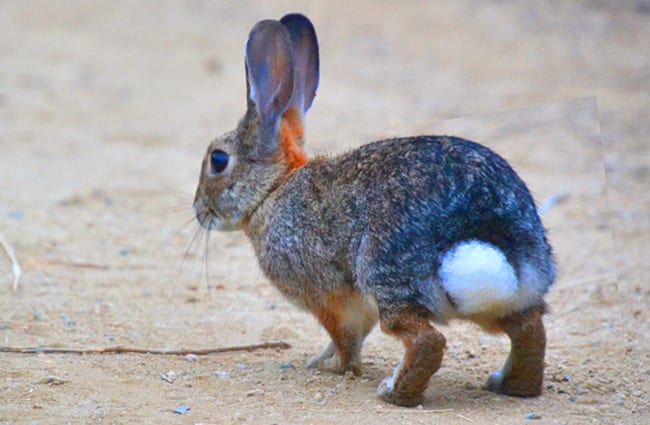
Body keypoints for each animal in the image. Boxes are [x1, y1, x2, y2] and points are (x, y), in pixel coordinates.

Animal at [191, 11, 552, 406]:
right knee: (530, 328)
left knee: (427, 340)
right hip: (503, 299)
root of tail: (485, 231)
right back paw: (509, 384)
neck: (274, 189)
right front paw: (322, 359)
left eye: (218, 160)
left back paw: (393, 392)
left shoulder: (328, 298)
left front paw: (331, 367)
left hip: (385, 278)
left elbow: (346, 337)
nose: (198, 210)